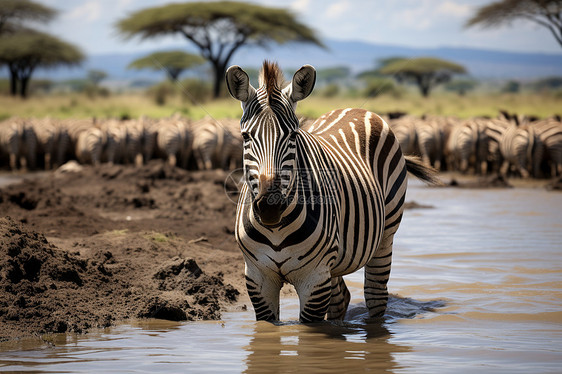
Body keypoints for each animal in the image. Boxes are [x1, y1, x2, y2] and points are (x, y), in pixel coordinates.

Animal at [224, 61, 438, 322]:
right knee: (341, 298)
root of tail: (355, 108)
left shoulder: (314, 279)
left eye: (293, 135)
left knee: (376, 295)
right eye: (245, 136)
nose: (269, 206)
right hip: (334, 261)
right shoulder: (258, 278)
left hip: (385, 235)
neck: (276, 230)